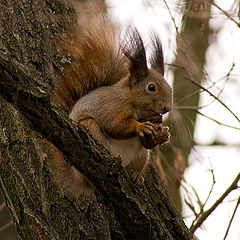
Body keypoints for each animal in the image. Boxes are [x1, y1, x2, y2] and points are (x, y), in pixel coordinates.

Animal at [47, 16, 172, 197]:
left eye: (170, 87)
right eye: (151, 87)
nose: (168, 108)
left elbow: (148, 142)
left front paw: (165, 134)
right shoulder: (112, 104)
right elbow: (114, 124)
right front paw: (141, 127)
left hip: (142, 156)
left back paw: (135, 174)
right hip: (89, 127)